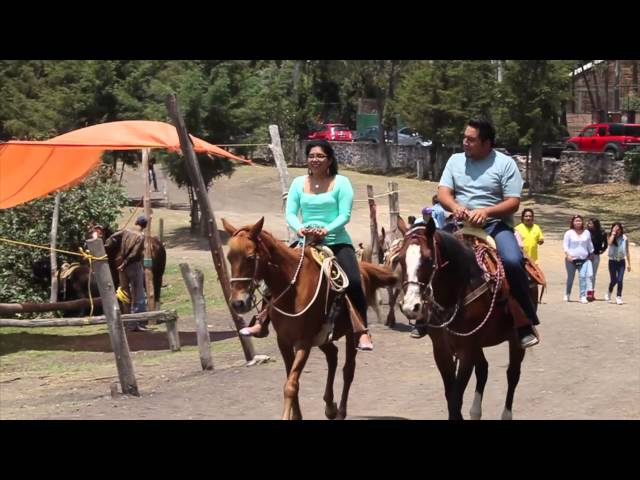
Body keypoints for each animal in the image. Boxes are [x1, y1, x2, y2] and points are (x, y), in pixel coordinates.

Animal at [222, 218, 398, 420]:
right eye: (229, 257)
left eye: (250, 257)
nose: (238, 303)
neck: (294, 288)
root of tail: (364, 270)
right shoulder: (284, 341)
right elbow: (291, 380)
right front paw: (296, 415)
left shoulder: (303, 342)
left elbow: (291, 385)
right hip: (323, 337)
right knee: (332, 356)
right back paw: (330, 407)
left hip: (349, 334)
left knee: (348, 370)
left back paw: (340, 412)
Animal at [396, 216, 536, 418]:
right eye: (400, 259)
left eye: (429, 259)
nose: (410, 306)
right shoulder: (442, 350)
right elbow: (450, 397)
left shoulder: (466, 350)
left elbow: (455, 400)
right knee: (483, 369)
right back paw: (475, 412)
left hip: (514, 341)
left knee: (512, 374)